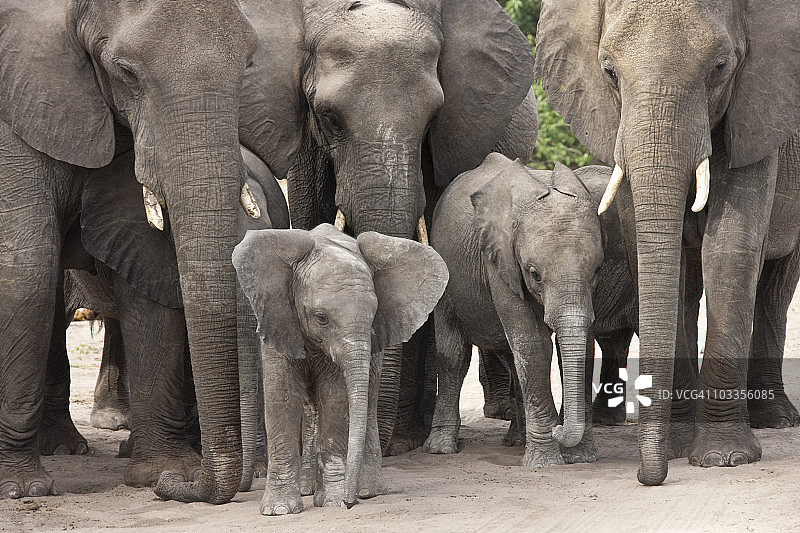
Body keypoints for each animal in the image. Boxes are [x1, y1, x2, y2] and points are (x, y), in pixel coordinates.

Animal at [0, 1, 306, 501]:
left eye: (247, 66)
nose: (179, 485)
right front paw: (21, 489)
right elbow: (26, 269)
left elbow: (147, 274)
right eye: (125, 71)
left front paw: (159, 473)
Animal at [232, 224, 448, 514]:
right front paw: (280, 510)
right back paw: (309, 488)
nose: (350, 503)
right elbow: (283, 396)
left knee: (366, 400)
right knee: (312, 407)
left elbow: (335, 397)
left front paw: (333, 502)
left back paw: (368, 490)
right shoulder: (280, 318)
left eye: (373, 317)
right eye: (321, 318)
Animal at [423, 153, 636, 466]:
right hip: (445, 273)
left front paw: (581, 458)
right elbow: (534, 346)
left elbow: (578, 348)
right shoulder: (499, 261)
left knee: (513, 356)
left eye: (597, 270)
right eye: (534, 274)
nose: (559, 428)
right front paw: (546, 463)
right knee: (454, 354)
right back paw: (441, 448)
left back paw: (517, 441)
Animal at [535, 0, 800, 484]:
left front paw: (724, 458)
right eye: (609, 72)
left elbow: (730, 249)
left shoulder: (756, 111)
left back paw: (775, 419)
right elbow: (655, 252)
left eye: (720, 68)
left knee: (775, 284)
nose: (646, 477)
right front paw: (677, 447)